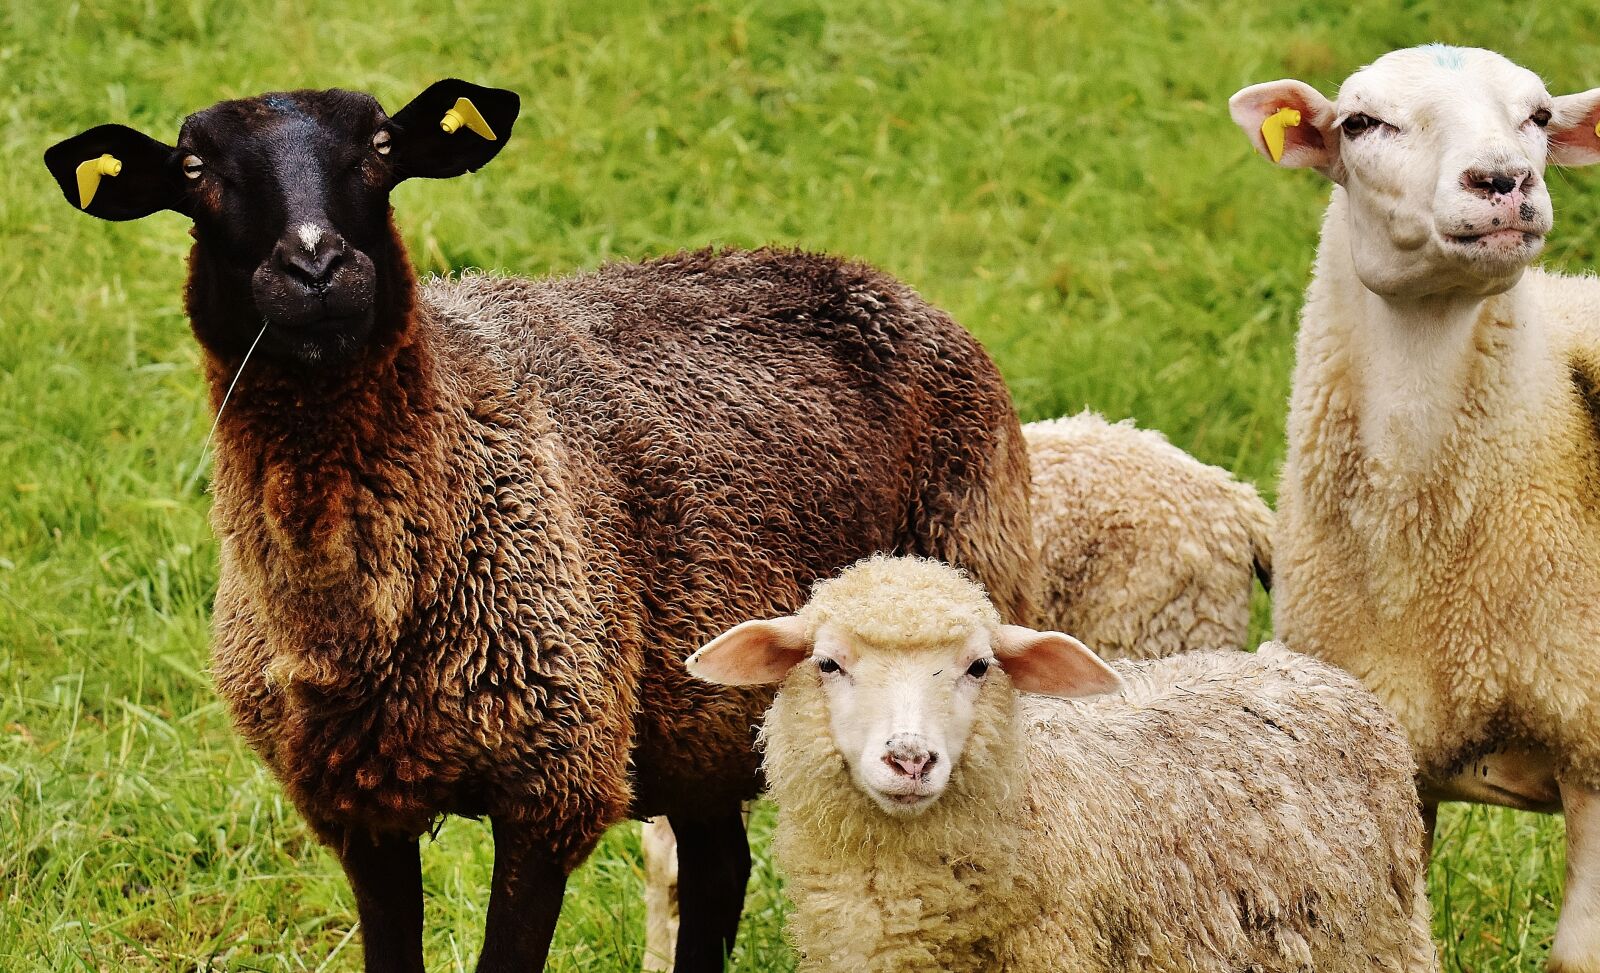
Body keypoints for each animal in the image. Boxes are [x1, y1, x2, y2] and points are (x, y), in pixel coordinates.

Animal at [42, 81, 1039, 973]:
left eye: (381, 147)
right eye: (194, 168)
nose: (317, 268)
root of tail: (872, 278)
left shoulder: (554, 779)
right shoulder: (356, 805)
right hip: (698, 726)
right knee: (719, 870)